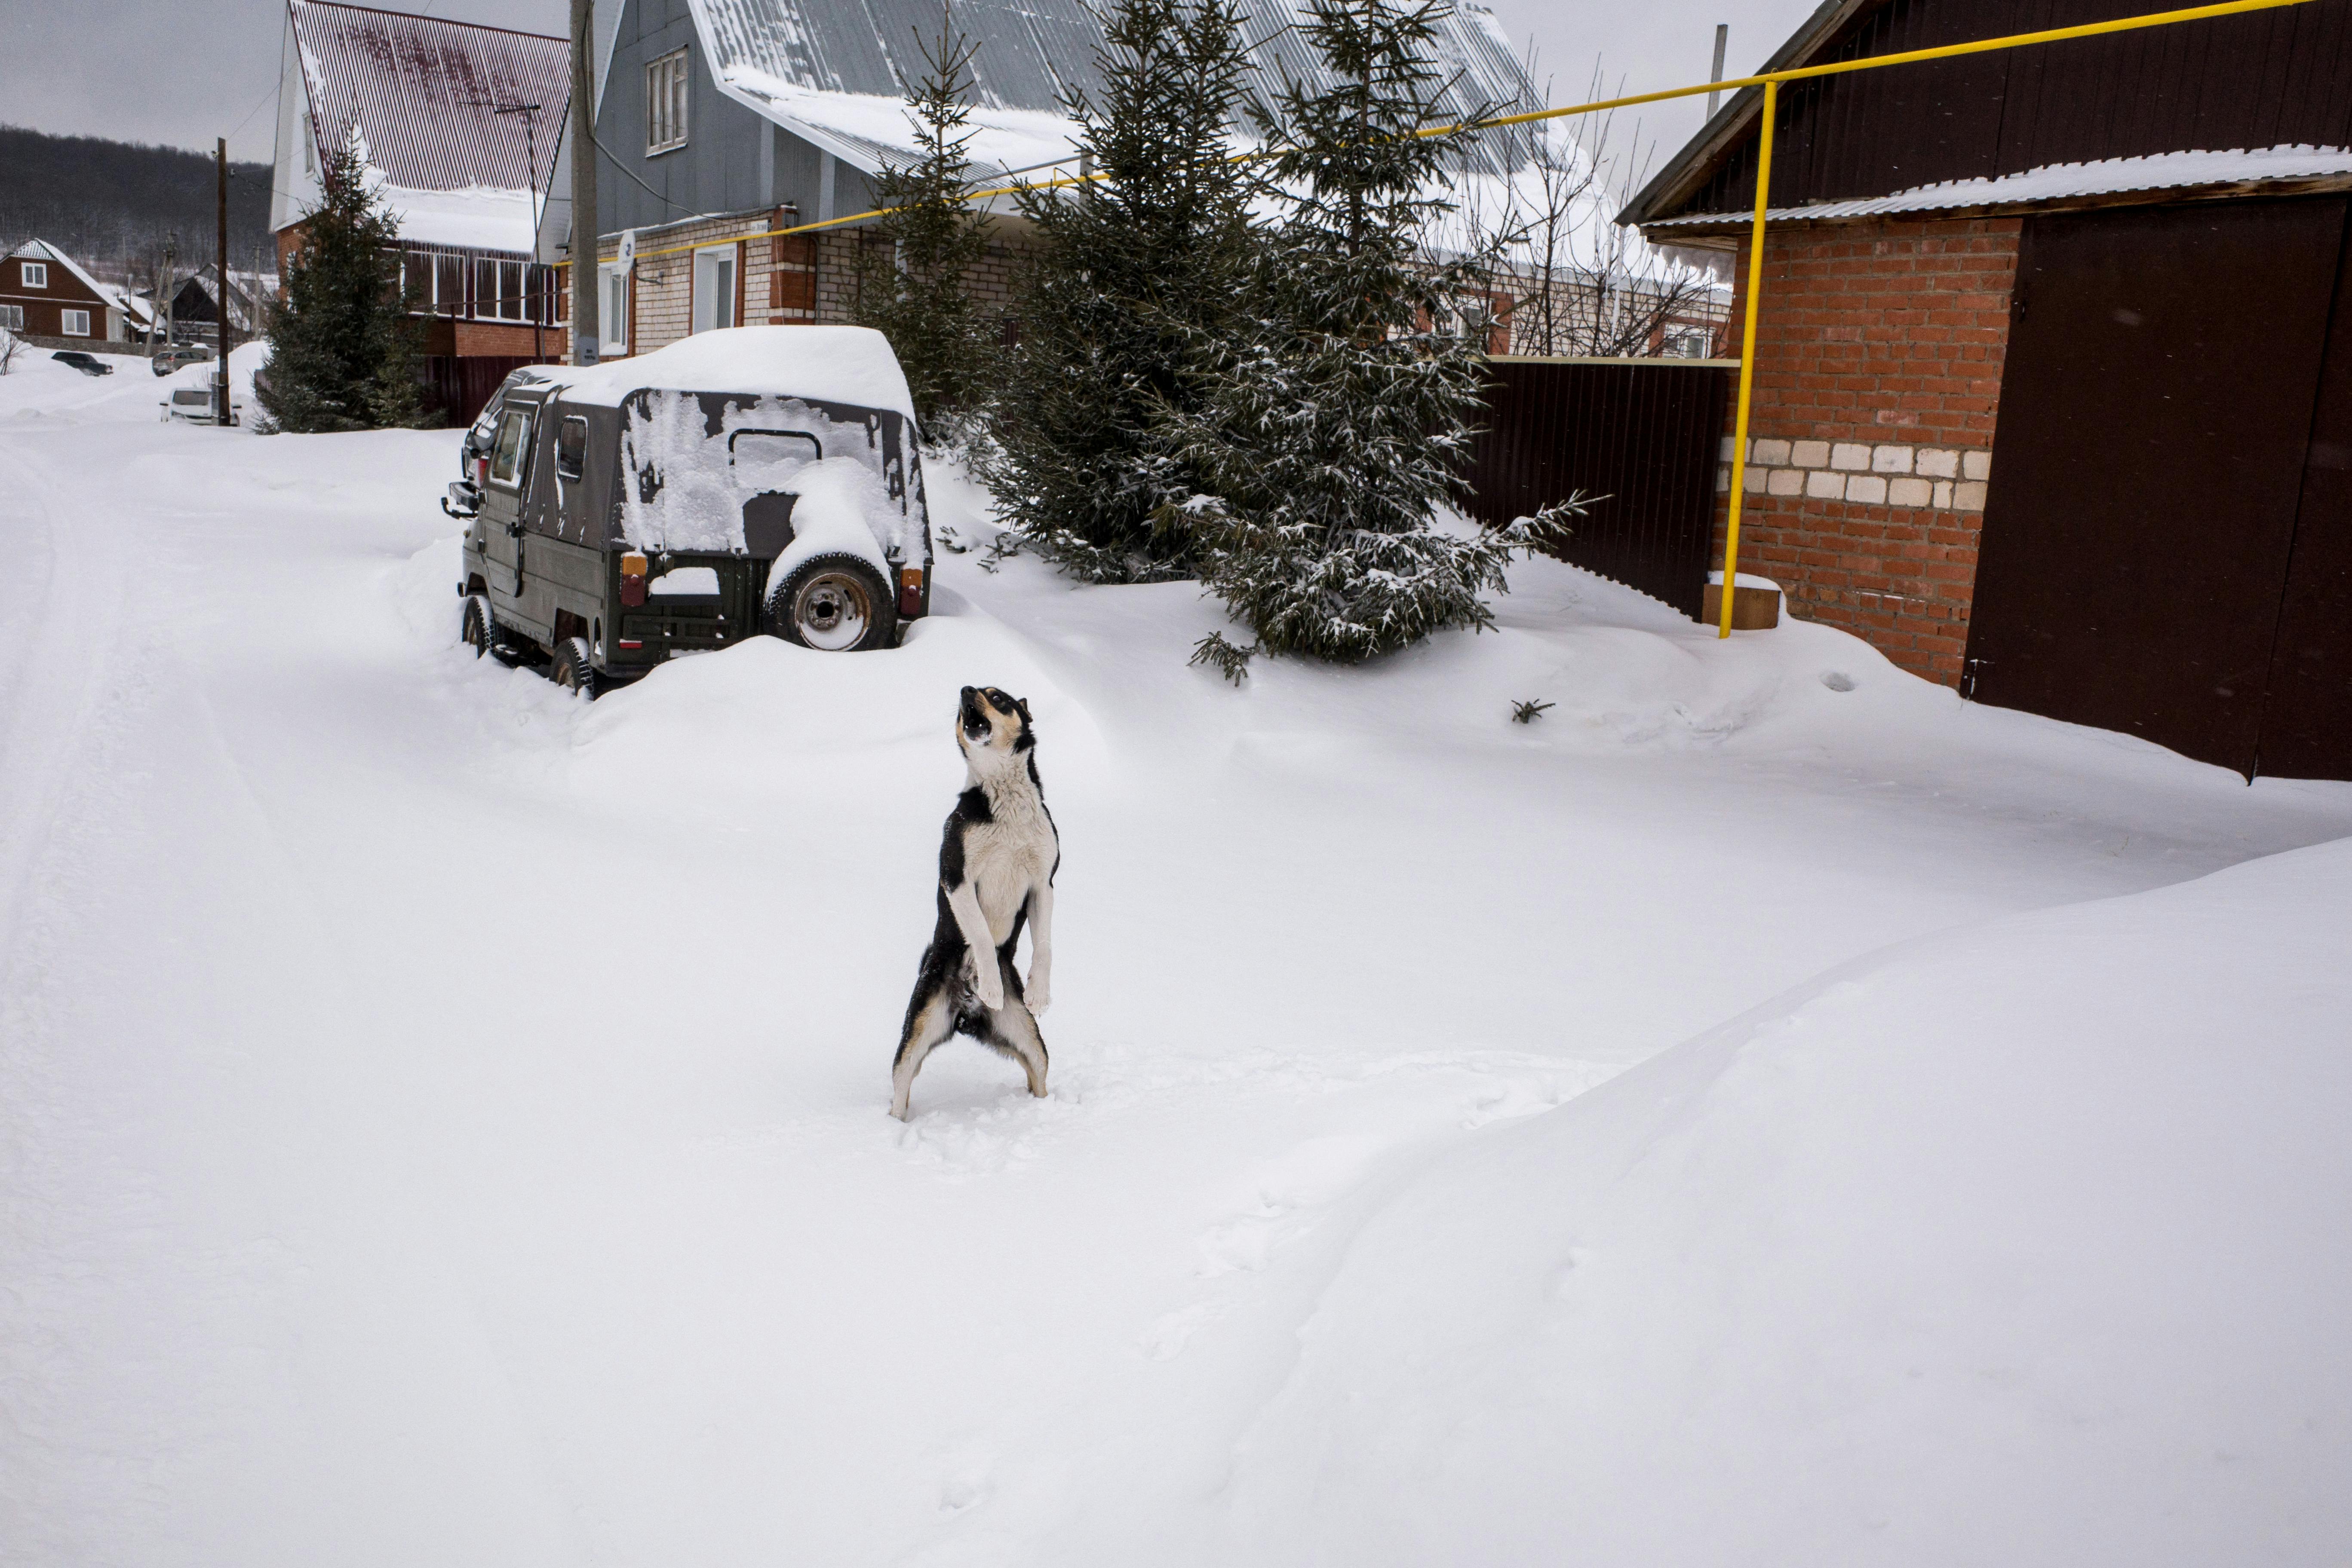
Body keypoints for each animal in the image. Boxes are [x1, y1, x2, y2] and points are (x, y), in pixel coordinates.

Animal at [884, 681, 1063, 1114]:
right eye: (966, 702)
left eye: (997, 697)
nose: (966, 690)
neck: (1006, 798)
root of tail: (967, 1012)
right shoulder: (957, 878)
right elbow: (980, 934)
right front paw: (992, 987)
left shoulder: (1043, 883)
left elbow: (1045, 946)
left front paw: (1039, 992)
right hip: (915, 1035)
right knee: (901, 1089)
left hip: (1030, 1041)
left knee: (1038, 1076)